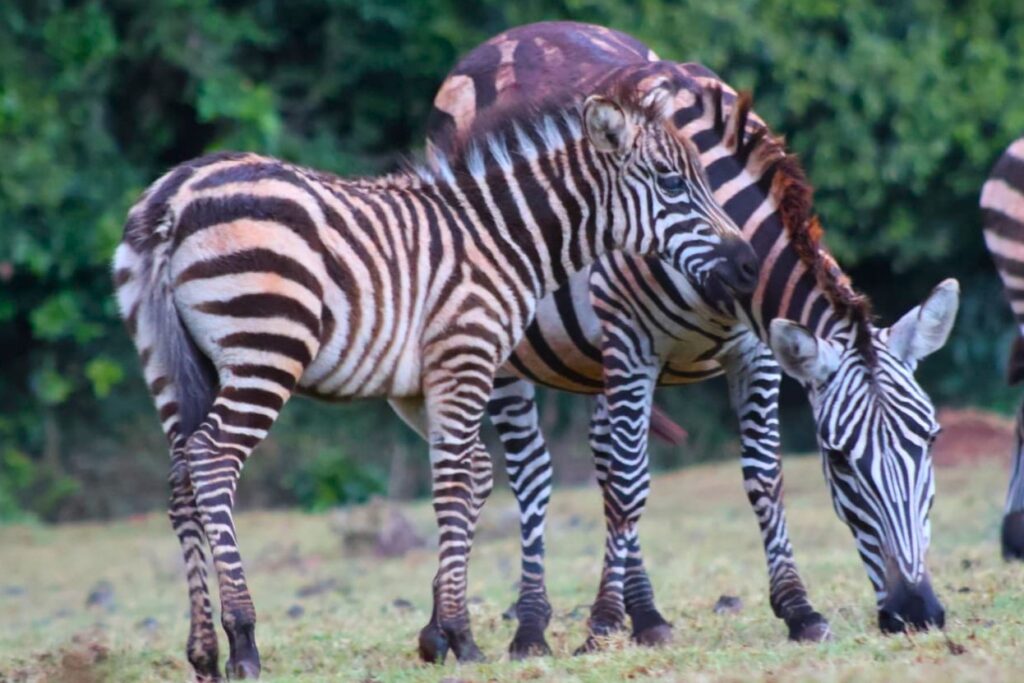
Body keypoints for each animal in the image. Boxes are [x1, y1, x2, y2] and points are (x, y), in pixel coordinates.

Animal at [112, 77, 758, 679]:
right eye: (671, 183)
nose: (749, 266)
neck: (504, 239)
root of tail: (175, 191)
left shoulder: (419, 387)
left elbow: (473, 477)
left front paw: (436, 634)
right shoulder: (464, 357)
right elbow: (452, 486)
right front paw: (461, 636)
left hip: (168, 361)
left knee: (181, 481)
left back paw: (202, 650)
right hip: (266, 349)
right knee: (213, 459)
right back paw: (243, 640)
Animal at [424, 21, 956, 657]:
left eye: (930, 439)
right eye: (838, 460)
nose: (917, 613)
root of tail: (516, 34)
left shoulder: (756, 352)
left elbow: (762, 475)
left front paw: (798, 609)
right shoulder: (632, 342)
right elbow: (629, 486)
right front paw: (599, 623)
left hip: (598, 361)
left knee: (601, 458)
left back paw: (644, 615)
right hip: (506, 345)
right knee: (527, 472)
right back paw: (525, 626)